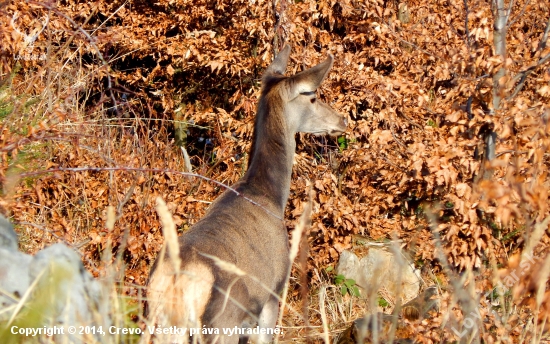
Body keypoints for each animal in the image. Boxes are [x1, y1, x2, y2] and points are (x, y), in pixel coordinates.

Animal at [144, 44, 348, 342]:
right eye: (312, 97)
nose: (342, 120)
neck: (270, 196)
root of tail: (175, 286)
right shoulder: (272, 294)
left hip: (154, 325)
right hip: (222, 324)